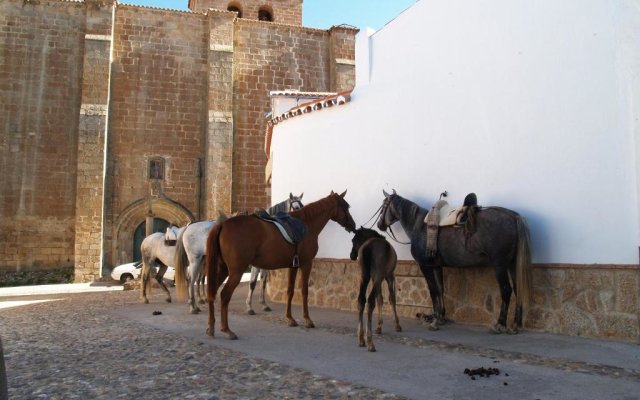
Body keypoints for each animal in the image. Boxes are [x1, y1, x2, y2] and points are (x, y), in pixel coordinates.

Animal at [174, 194, 304, 316]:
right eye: (296, 207)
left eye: (302, 205)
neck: (268, 228)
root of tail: (188, 227)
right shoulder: (255, 265)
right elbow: (253, 284)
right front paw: (249, 307)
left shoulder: (265, 264)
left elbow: (262, 282)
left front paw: (264, 304)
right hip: (195, 260)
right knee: (191, 280)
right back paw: (193, 306)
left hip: (202, 260)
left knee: (194, 279)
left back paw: (196, 304)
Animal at [205, 190, 356, 338]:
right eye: (346, 206)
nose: (353, 225)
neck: (307, 224)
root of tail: (223, 224)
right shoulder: (306, 263)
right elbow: (304, 291)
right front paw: (307, 319)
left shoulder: (293, 265)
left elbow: (290, 290)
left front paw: (290, 318)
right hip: (236, 272)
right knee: (224, 295)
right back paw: (226, 329)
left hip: (222, 269)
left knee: (212, 292)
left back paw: (211, 327)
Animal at [378, 189, 532, 332]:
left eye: (384, 205)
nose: (379, 225)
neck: (419, 226)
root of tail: (513, 216)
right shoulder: (436, 266)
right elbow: (440, 289)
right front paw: (440, 317)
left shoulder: (425, 266)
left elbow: (432, 290)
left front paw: (435, 320)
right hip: (512, 264)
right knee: (518, 289)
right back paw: (516, 324)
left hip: (500, 265)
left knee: (506, 290)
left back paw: (500, 324)